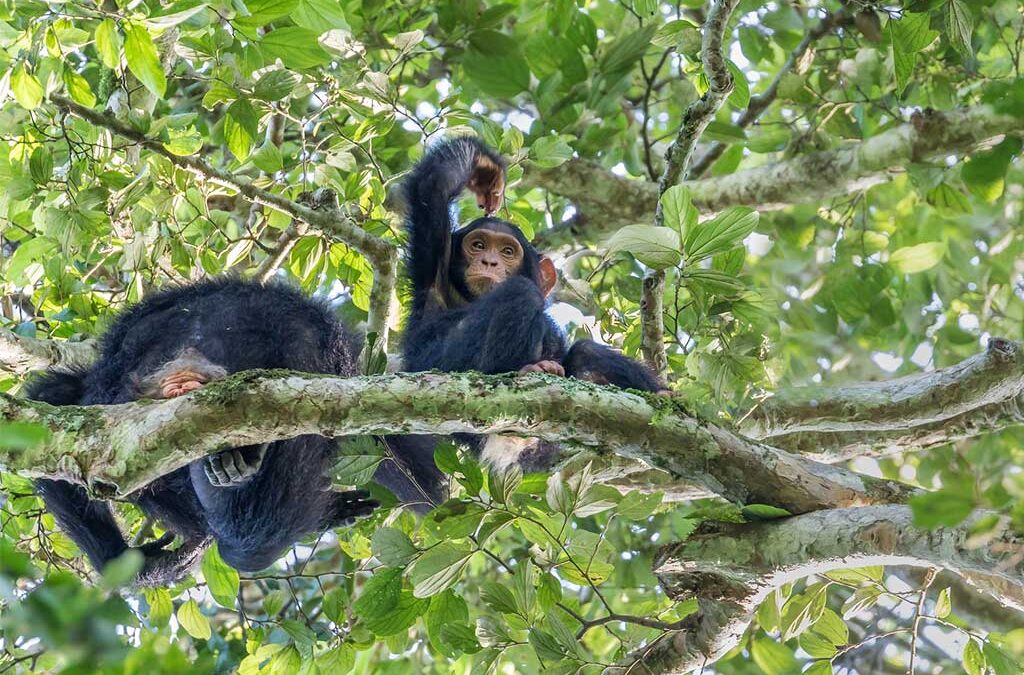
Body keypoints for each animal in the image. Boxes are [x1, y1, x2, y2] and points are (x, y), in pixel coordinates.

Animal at [387, 133, 667, 501]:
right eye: (478, 245)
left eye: (507, 251)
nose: (490, 261)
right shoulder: (434, 263)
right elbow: (432, 190)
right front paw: (485, 170)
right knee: (519, 293)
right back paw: (528, 369)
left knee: (583, 353)